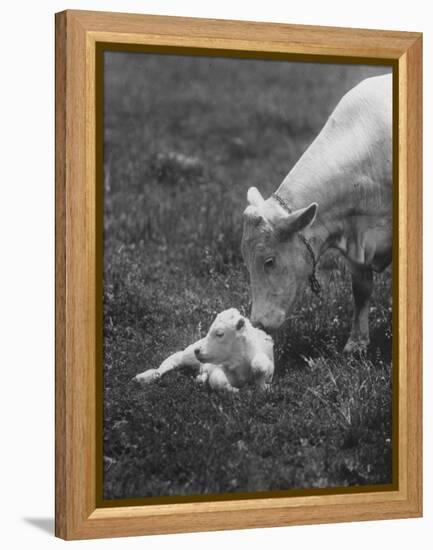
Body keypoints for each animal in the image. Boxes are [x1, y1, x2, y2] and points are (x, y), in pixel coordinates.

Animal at [134, 310, 274, 392]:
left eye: (220, 334)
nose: (198, 350)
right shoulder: (219, 368)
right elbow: (217, 380)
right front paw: (235, 391)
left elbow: (260, 366)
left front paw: (264, 387)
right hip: (188, 355)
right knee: (173, 360)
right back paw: (145, 377)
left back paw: (200, 379)